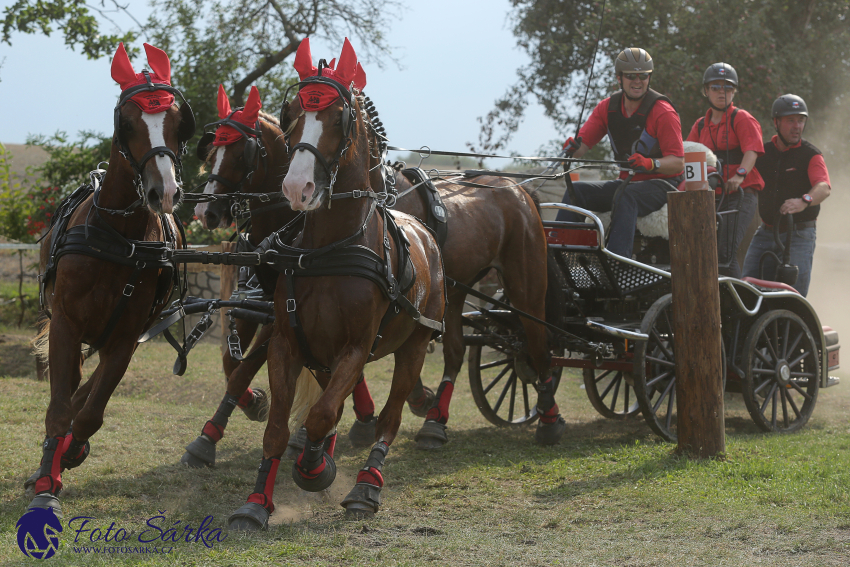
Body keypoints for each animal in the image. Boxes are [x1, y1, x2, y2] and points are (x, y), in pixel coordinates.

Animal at [25, 42, 195, 516]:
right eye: (129, 122)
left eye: (178, 122)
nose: (165, 192)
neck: (119, 237)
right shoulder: (66, 324)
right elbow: (60, 406)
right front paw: (46, 481)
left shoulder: (125, 338)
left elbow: (91, 411)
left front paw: (71, 450)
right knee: (72, 386)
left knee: (87, 391)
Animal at [229, 38, 448, 528]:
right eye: (292, 113)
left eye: (338, 118)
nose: (297, 187)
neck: (329, 250)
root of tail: (425, 232)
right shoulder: (288, 342)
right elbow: (280, 428)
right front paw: (256, 502)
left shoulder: (356, 348)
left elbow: (321, 414)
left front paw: (315, 469)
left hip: (414, 344)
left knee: (389, 418)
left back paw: (366, 486)